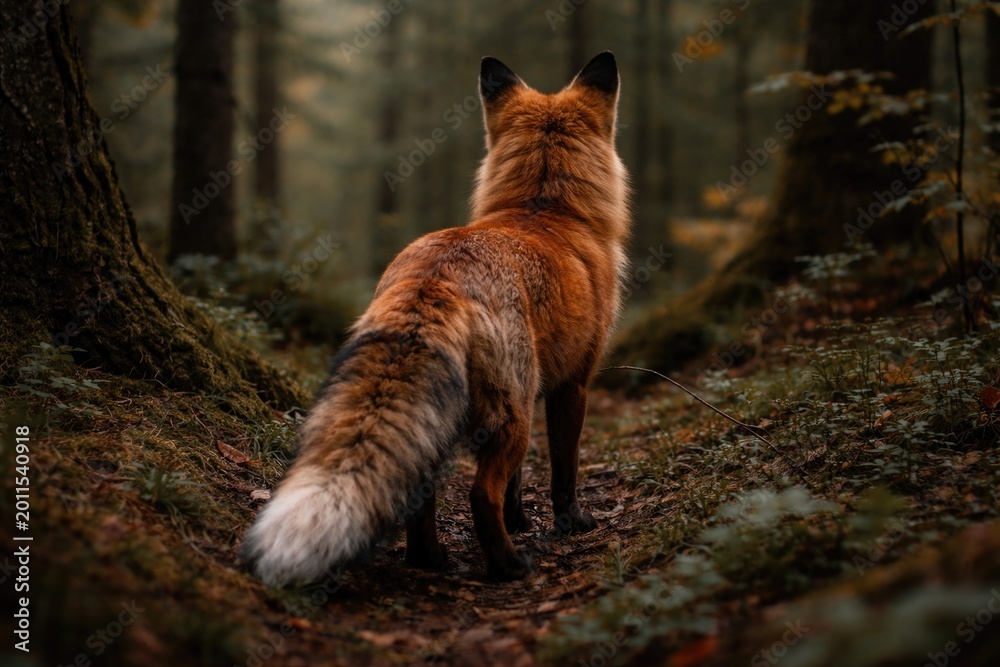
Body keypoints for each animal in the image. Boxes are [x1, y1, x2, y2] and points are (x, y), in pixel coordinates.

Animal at [241, 51, 630, 584]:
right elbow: (563, 471)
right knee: (479, 495)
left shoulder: (541, 390)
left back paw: (428, 558)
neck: (543, 206)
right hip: (510, 415)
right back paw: (508, 565)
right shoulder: (571, 385)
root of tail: (438, 275)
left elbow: (519, 483)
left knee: (420, 493)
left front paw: (520, 519)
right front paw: (569, 523)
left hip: (453, 415)